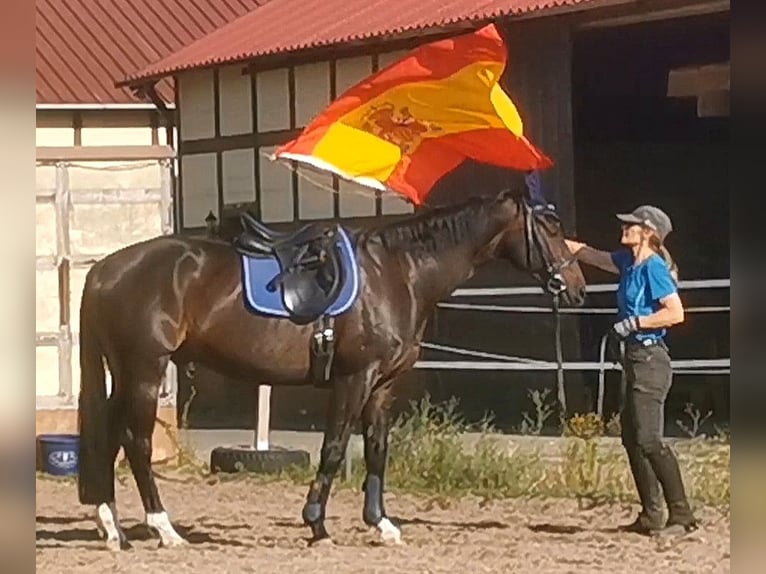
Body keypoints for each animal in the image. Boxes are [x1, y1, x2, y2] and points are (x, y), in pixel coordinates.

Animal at [76, 187, 586, 551]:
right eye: (549, 227)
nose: (577, 287)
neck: (397, 273)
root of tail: (103, 270)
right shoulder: (353, 378)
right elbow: (336, 447)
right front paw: (316, 524)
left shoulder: (382, 385)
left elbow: (377, 449)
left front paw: (382, 524)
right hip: (145, 371)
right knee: (137, 442)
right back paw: (164, 529)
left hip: (126, 374)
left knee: (110, 433)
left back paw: (113, 528)